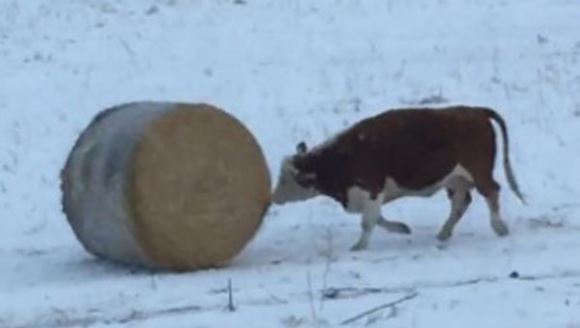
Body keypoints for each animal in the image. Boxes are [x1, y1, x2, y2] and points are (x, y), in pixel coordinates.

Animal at [270, 106, 524, 250]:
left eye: (286, 180)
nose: (273, 197)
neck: (341, 157)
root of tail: (476, 110)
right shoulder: (368, 196)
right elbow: (377, 219)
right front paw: (401, 229)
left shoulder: (372, 189)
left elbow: (368, 221)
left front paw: (359, 247)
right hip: (455, 179)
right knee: (461, 202)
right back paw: (443, 233)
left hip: (479, 172)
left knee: (491, 191)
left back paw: (499, 227)